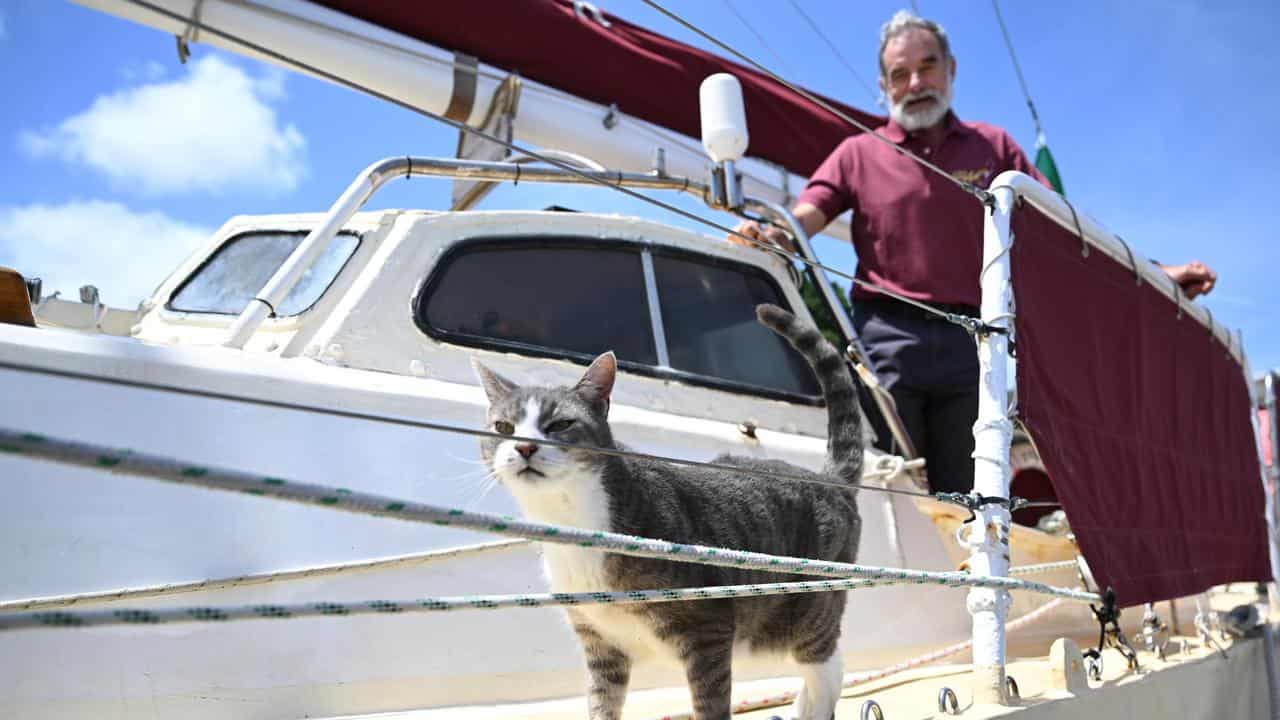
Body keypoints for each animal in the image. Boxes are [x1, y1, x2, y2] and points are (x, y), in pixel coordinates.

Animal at [476, 301, 865, 717]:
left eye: (561, 424)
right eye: (502, 427)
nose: (524, 447)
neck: (570, 516)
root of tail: (831, 479)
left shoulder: (708, 628)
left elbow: (710, 704)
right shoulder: (601, 644)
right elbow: (602, 702)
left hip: (810, 605)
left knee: (828, 664)